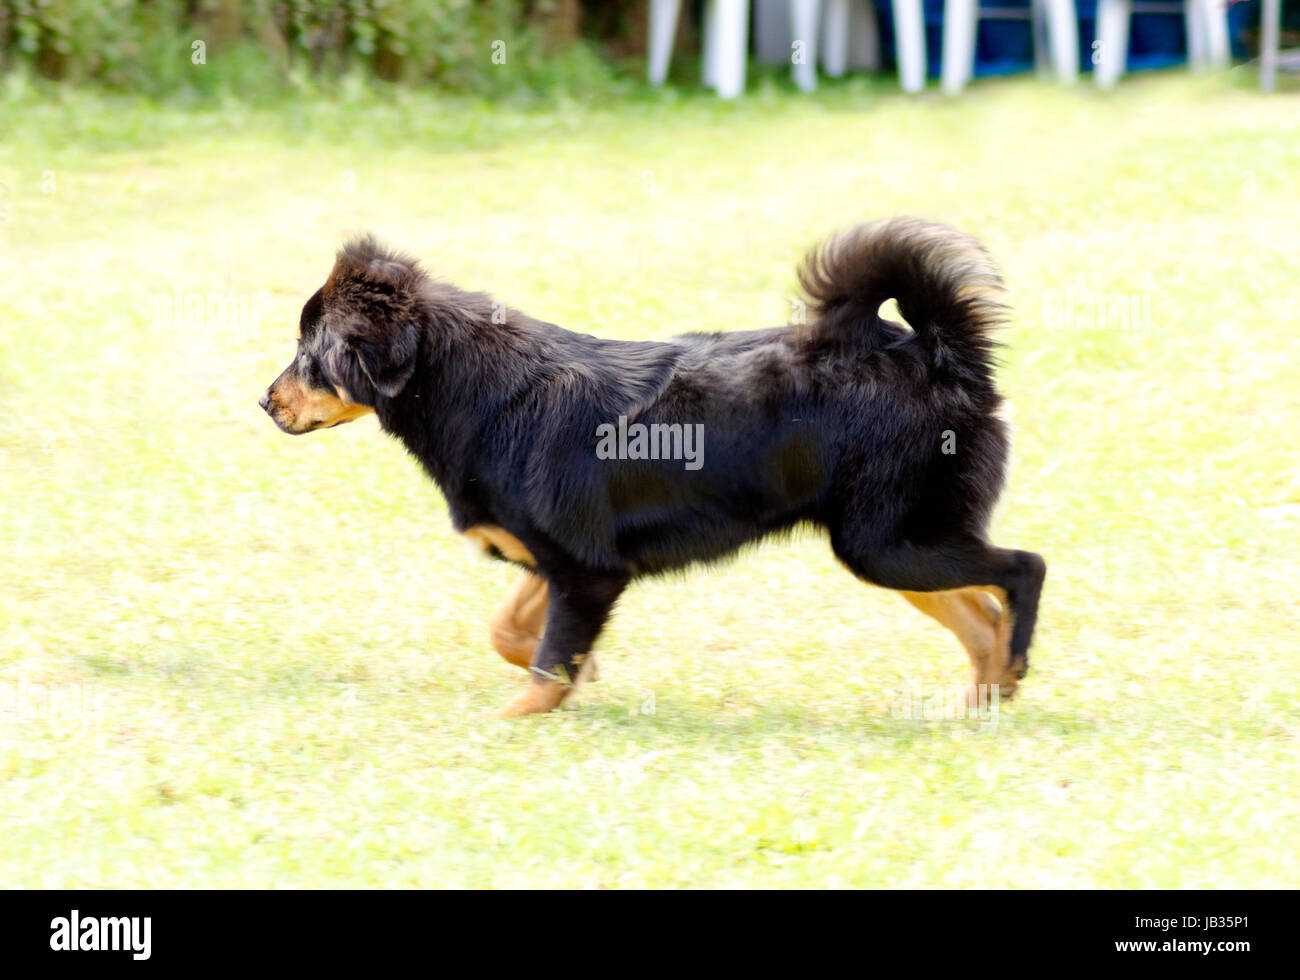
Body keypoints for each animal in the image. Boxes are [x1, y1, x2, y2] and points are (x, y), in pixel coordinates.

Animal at [261, 217, 1045, 712]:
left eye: (309, 354)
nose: (265, 402)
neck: (479, 389)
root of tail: (938, 354)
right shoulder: (569, 561)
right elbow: (515, 633)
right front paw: (582, 675)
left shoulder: (588, 571)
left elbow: (541, 667)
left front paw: (517, 720)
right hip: (894, 545)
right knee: (981, 615)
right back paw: (984, 697)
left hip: (887, 542)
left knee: (1021, 571)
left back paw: (1010, 669)